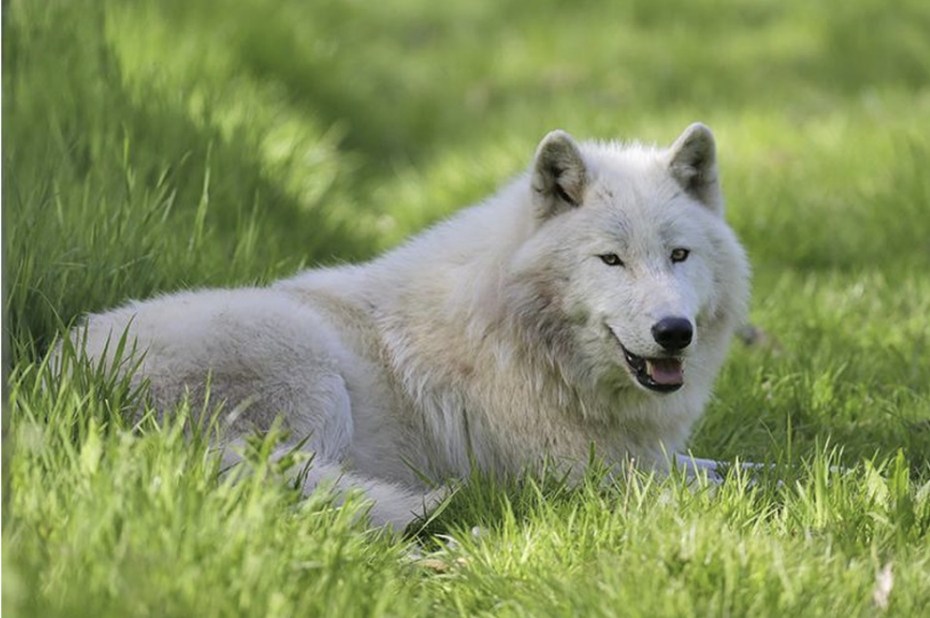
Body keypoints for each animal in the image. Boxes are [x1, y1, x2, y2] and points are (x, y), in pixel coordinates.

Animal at [67, 124, 748, 524]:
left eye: (679, 255)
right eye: (611, 260)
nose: (674, 332)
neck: (517, 335)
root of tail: (68, 392)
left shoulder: (650, 456)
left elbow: (734, 467)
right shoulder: (592, 475)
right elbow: (720, 484)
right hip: (312, 376)